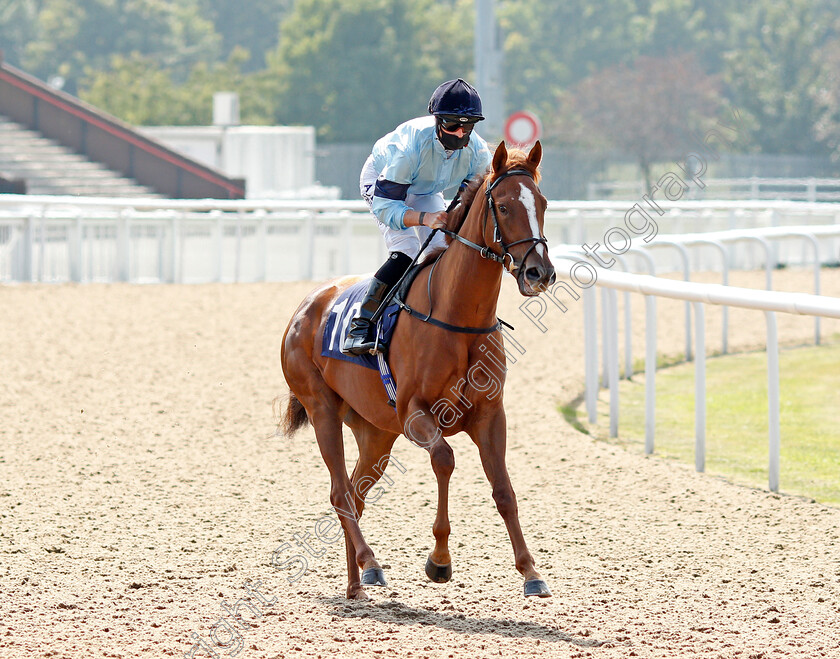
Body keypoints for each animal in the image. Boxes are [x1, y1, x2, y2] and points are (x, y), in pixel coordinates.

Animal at [282, 142, 556, 600]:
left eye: (543, 203)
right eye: (502, 206)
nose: (540, 272)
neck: (457, 317)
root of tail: (305, 306)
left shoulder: (490, 414)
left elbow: (504, 490)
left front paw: (531, 572)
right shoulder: (414, 413)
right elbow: (444, 459)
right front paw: (439, 561)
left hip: (376, 432)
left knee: (354, 494)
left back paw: (356, 583)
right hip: (322, 409)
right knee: (340, 493)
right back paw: (370, 563)